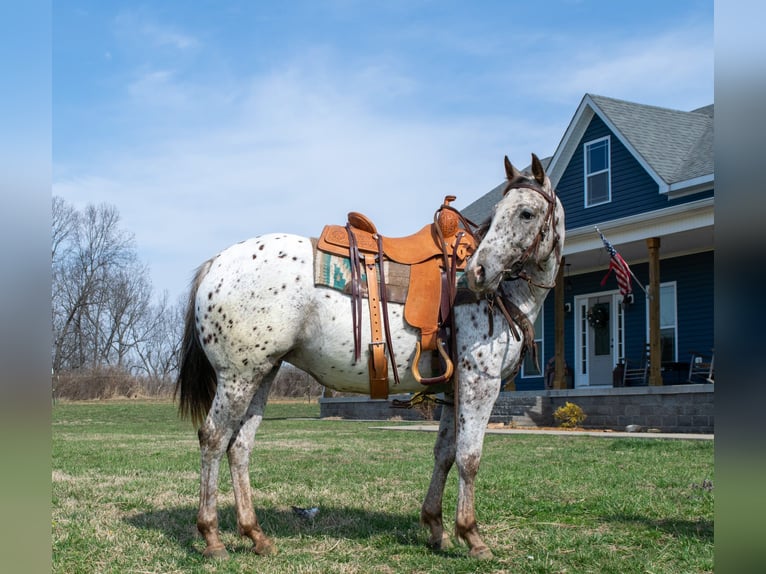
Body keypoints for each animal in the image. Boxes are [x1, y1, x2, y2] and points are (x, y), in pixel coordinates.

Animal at [176, 153, 565, 560]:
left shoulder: (453, 390)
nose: (478, 272)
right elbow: (469, 458)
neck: (506, 293)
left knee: (239, 446)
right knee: (214, 438)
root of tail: (216, 263)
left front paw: (435, 527)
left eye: (526, 213)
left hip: (261, 374)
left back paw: (255, 535)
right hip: (237, 376)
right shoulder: (478, 383)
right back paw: (212, 537)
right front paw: (471, 535)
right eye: (501, 212)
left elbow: (444, 454)